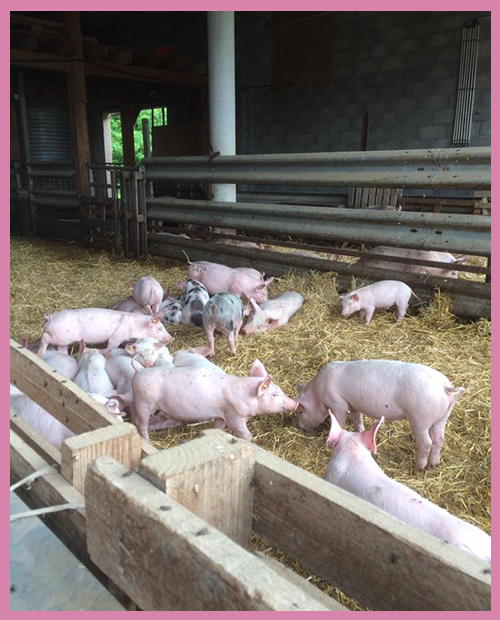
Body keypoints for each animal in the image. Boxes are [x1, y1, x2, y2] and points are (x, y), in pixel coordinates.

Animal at [35, 308, 172, 356]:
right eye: (159, 328)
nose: (171, 338)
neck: (137, 326)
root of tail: (49, 319)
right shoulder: (117, 336)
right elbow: (111, 345)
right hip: (62, 336)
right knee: (45, 337)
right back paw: (39, 354)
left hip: (64, 340)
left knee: (61, 350)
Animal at [131, 358, 298, 440]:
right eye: (274, 394)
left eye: (280, 389)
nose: (296, 403)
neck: (245, 395)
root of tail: (139, 371)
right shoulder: (235, 416)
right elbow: (245, 434)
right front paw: (250, 440)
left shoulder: (221, 415)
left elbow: (218, 427)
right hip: (144, 402)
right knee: (140, 424)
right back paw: (147, 442)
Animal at [296, 358, 464, 470]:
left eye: (300, 411)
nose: (298, 427)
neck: (318, 393)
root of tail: (444, 386)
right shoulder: (354, 404)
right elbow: (357, 419)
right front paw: (361, 431)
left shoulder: (339, 404)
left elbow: (339, 420)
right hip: (442, 417)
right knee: (438, 439)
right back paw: (434, 465)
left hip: (419, 418)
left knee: (427, 442)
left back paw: (418, 468)